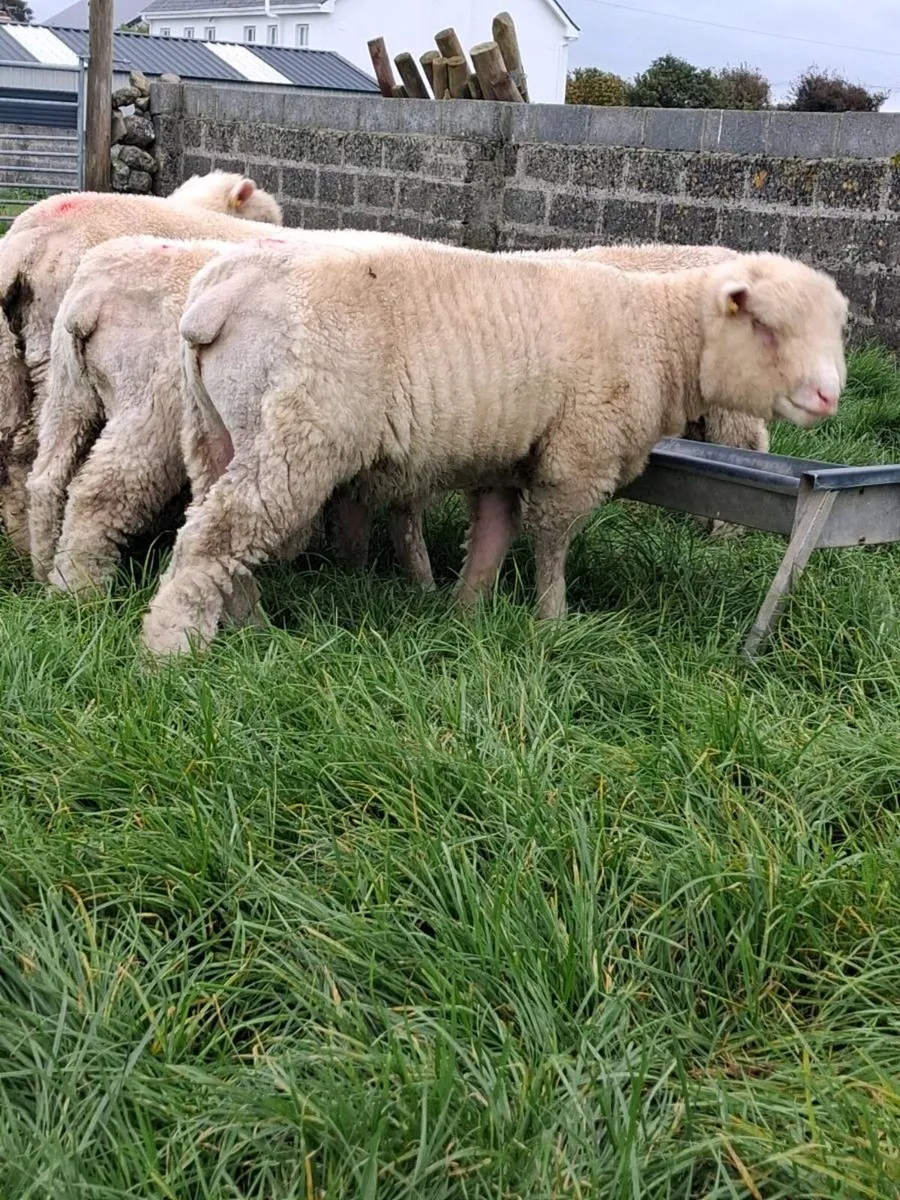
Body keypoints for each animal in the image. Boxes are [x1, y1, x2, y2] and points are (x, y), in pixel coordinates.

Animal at [140, 240, 847, 657]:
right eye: (765, 326)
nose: (829, 397)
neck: (658, 332)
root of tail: (219, 295)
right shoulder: (576, 456)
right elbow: (551, 543)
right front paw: (552, 623)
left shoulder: (509, 457)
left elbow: (492, 535)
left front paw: (467, 612)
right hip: (299, 435)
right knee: (218, 535)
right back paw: (171, 650)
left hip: (216, 430)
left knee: (211, 525)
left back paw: (248, 624)